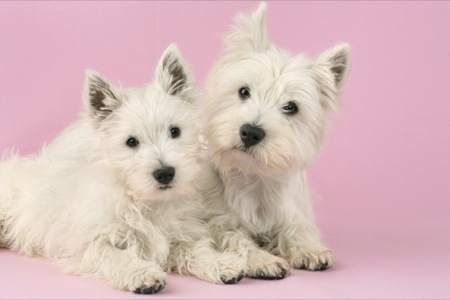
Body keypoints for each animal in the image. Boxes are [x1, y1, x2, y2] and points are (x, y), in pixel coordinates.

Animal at [0, 44, 246, 292]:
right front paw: (143, 274)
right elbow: (116, 256)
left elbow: (196, 250)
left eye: (175, 131)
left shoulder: (179, 233)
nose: (165, 173)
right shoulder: (93, 241)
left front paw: (221, 264)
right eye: (131, 142)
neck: (145, 200)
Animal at [200, 2, 352, 280]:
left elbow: (296, 228)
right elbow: (236, 238)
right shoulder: (216, 220)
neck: (253, 178)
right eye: (244, 91)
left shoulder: (292, 209)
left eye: (291, 107)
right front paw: (263, 259)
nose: (250, 132)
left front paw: (310, 250)